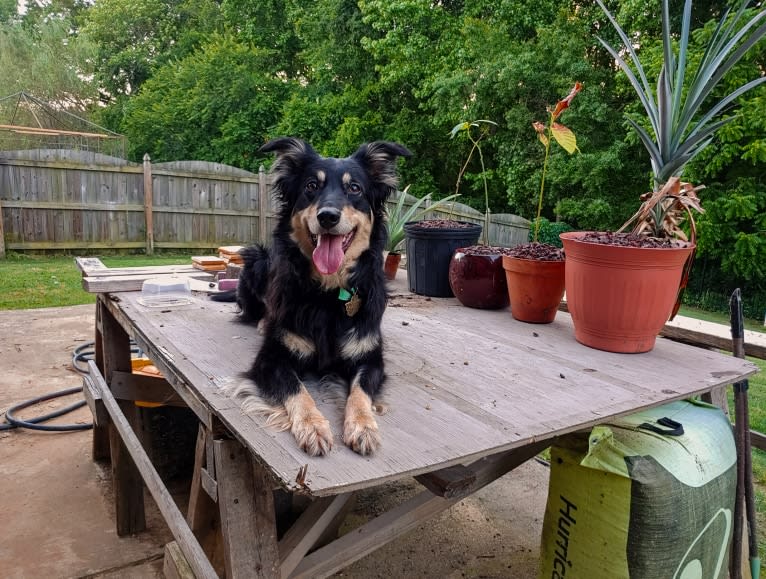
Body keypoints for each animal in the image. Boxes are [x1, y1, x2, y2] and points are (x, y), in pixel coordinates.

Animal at [225, 137, 412, 458]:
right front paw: (312, 426)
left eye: (355, 188)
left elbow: (360, 392)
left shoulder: (371, 359)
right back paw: (262, 322)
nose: (327, 216)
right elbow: (296, 389)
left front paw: (363, 426)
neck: (328, 294)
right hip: (255, 257)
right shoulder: (271, 359)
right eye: (311, 186)